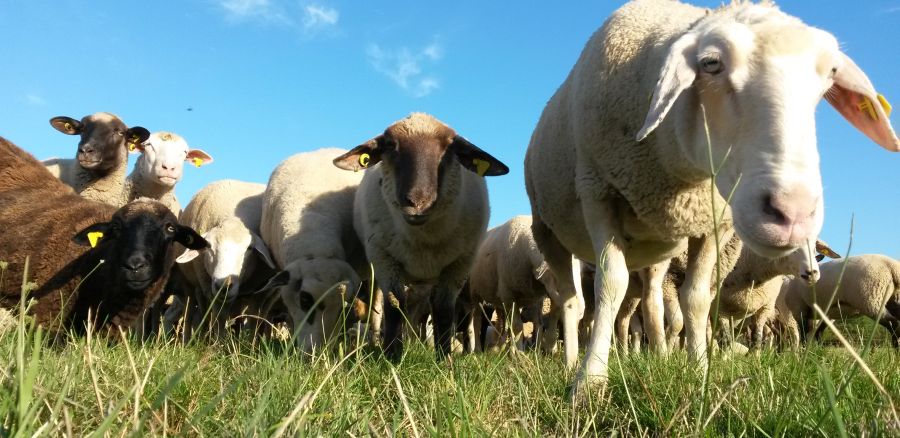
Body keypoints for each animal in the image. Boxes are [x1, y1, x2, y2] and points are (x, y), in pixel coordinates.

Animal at [171, 180, 276, 338]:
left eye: (250, 248)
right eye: (208, 246)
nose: (224, 286)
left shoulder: (260, 290)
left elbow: (254, 321)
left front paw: (251, 344)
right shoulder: (210, 287)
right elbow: (219, 319)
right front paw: (219, 343)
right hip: (190, 283)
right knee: (193, 313)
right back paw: (192, 339)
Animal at [332, 112, 512, 360]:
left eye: (450, 147)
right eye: (391, 145)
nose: (417, 203)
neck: (422, 237)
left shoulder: (459, 264)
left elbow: (443, 310)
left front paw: (444, 358)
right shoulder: (384, 258)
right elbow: (394, 306)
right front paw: (392, 356)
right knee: (382, 310)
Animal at [524, 0, 896, 394]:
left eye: (830, 75)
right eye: (711, 63)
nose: (792, 214)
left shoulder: (713, 220)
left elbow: (698, 299)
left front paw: (700, 372)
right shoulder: (598, 192)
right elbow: (611, 284)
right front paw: (590, 381)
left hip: (655, 251)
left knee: (653, 304)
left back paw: (658, 355)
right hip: (548, 230)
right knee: (571, 302)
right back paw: (569, 362)